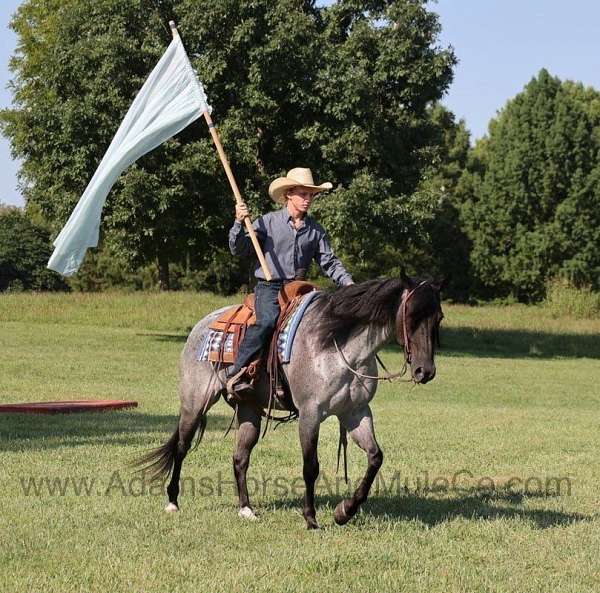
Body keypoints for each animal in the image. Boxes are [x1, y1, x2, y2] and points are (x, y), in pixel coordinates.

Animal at [138, 276, 442, 528]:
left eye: (438, 317)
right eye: (412, 315)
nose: (425, 371)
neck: (335, 343)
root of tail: (200, 327)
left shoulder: (355, 412)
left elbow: (375, 457)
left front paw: (344, 511)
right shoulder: (310, 414)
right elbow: (311, 467)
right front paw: (311, 518)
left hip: (249, 410)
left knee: (240, 458)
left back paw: (246, 509)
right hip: (195, 403)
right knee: (181, 448)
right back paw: (172, 502)